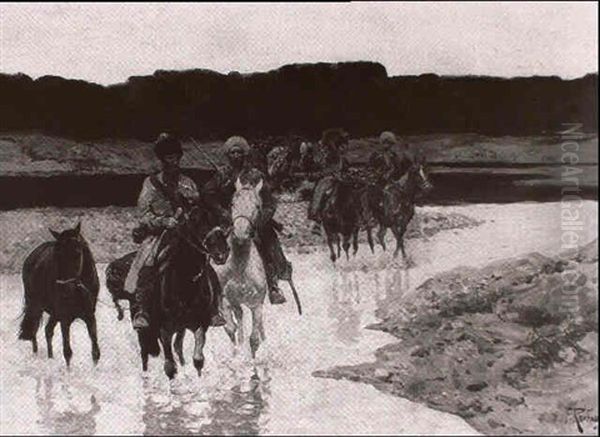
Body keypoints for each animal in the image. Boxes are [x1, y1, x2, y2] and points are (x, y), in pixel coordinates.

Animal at [19, 221, 100, 364]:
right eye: (57, 254)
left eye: (77, 253)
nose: (64, 288)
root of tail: (32, 255)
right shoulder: (64, 317)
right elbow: (67, 351)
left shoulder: (90, 315)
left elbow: (95, 351)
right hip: (35, 306)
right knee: (34, 328)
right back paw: (36, 356)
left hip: (54, 313)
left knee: (48, 330)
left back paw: (50, 358)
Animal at [105, 203, 230, 376]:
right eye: (195, 220)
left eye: (218, 218)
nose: (222, 252)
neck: (186, 284)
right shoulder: (165, 329)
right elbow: (169, 365)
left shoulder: (199, 324)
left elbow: (198, 359)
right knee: (146, 351)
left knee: (178, 347)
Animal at [211, 175, 268, 356]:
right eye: (232, 204)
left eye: (257, 206)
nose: (241, 233)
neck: (240, 266)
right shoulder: (225, 301)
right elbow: (231, 328)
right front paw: (236, 355)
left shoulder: (257, 304)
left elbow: (254, 338)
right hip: (235, 302)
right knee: (239, 317)